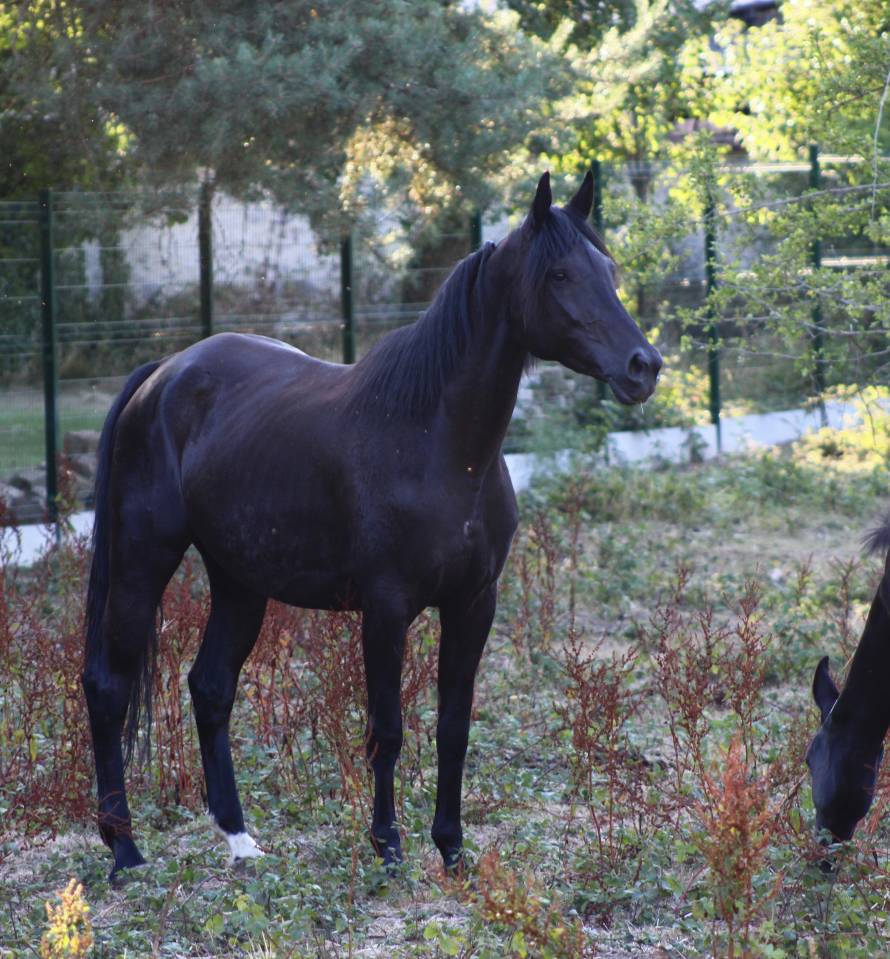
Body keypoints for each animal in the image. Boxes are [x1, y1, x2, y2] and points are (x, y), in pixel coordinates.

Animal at [82, 171, 662, 879]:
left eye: (608, 269)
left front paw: (451, 848)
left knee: (210, 687)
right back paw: (125, 851)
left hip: (241, 581)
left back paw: (240, 839)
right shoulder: (386, 609)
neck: (435, 442)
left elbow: (453, 727)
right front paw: (388, 845)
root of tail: (161, 376)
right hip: (142, 562)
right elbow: (386, 728)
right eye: (558, 274)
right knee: (108, 688)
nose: (643, 366)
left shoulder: (474, 604)